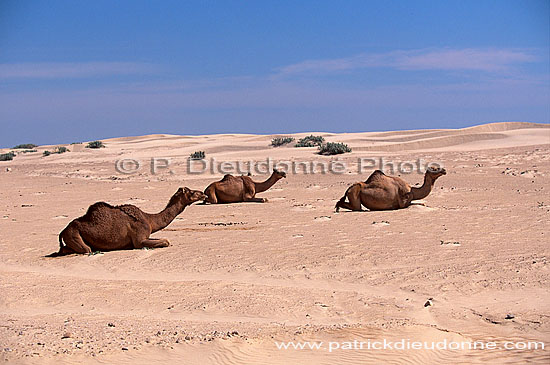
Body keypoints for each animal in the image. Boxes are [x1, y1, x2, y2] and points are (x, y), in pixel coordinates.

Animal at [51, 186, 207, 255]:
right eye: (192, 192)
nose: (203, 194)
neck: (149, 219)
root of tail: (63, 231)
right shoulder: (139, 239)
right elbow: (165, 241)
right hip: (73, 235)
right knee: (85, 249)